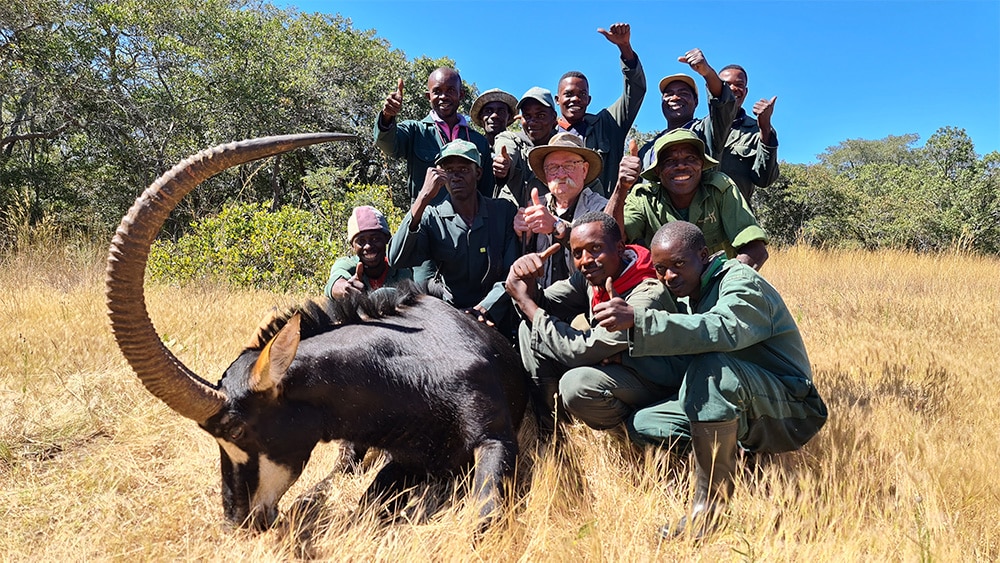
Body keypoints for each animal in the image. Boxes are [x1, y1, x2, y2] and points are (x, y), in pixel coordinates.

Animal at [107, 134, 532, 532]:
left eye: (236, 429)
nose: (237, 520)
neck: (414, 371)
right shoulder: (409, 460)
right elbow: (366, 503)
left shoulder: (495, 441)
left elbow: (484, 519)